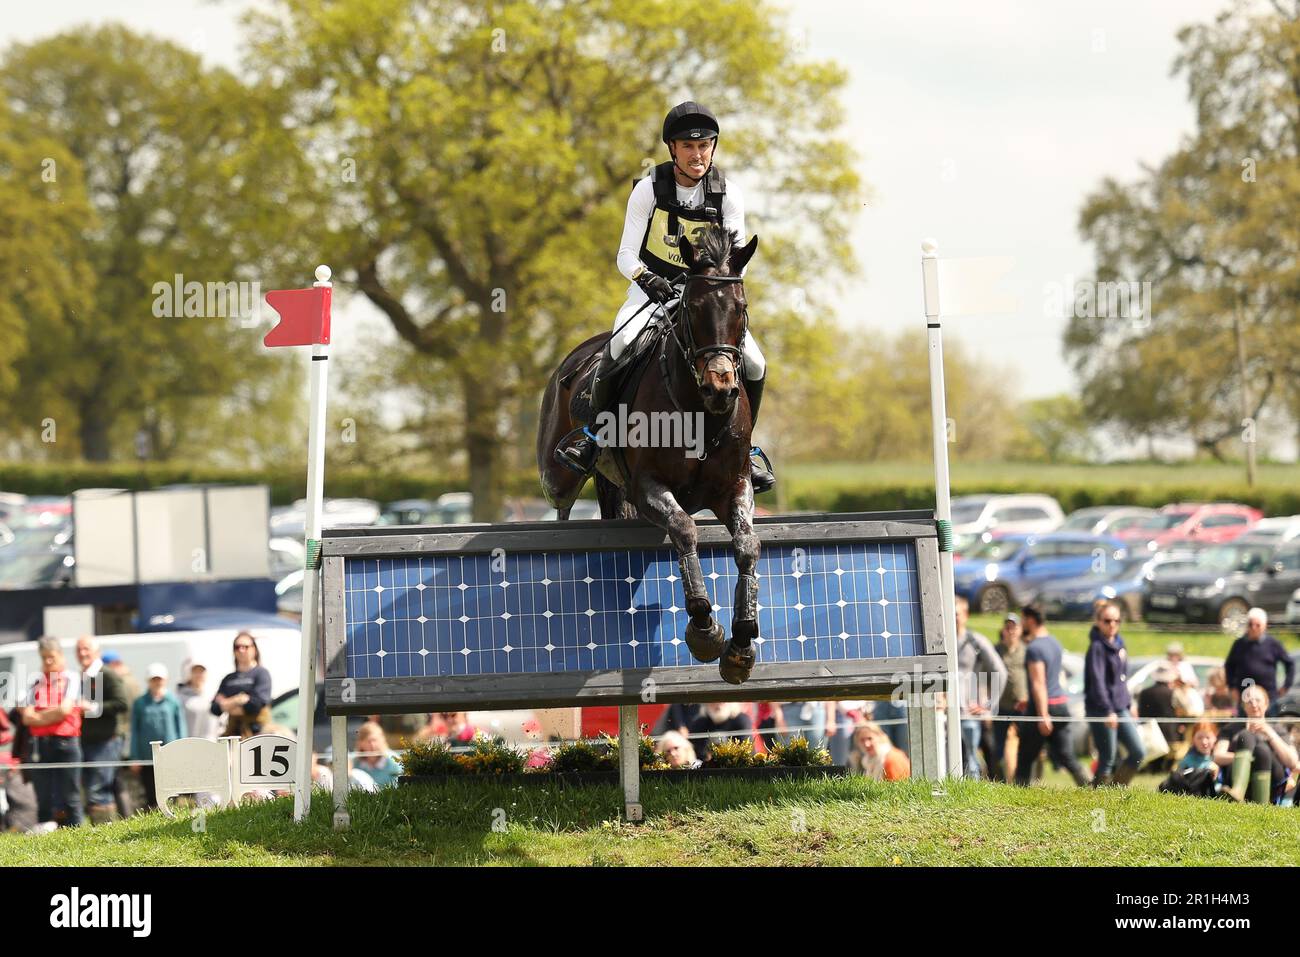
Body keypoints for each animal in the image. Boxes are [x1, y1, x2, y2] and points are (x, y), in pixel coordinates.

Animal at [538, 226, 759, 681]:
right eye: (691, 308)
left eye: (741, 308)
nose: (721, 387)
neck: (700, 411)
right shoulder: (648, 488)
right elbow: (684, 529)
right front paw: (704, 629)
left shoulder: (735, 486)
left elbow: (747, 545)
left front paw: (741, 643)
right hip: (557, 476)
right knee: (562, 501)